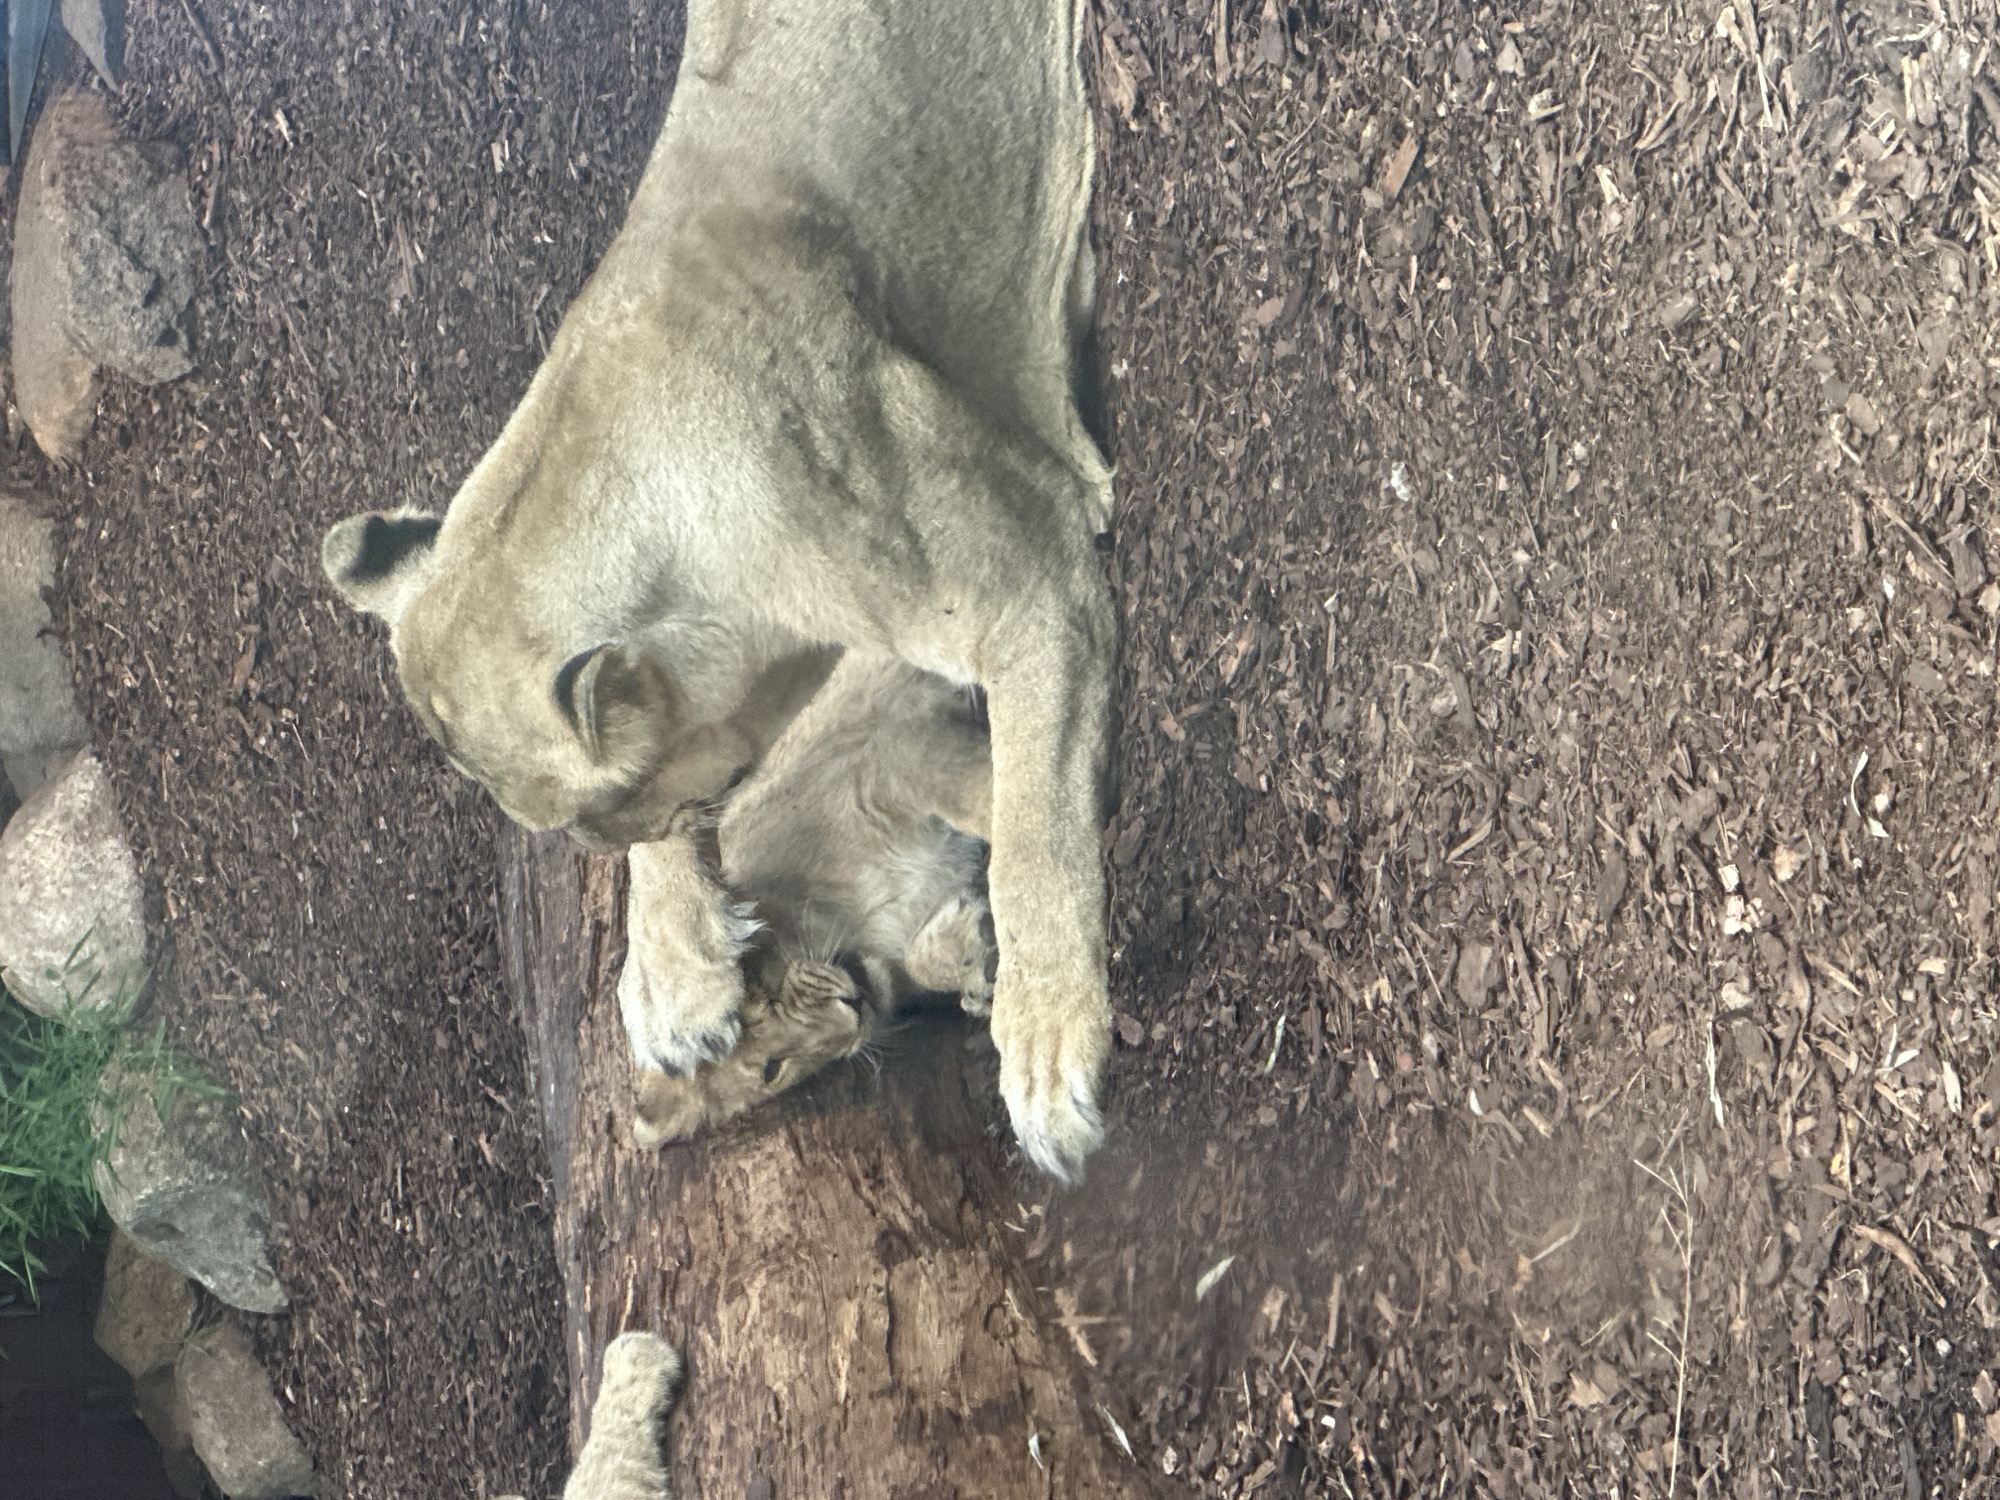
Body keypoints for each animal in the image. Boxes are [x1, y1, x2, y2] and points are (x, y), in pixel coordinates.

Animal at [321, 0, 1115, 1181]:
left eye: (596, 820)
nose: (610, 843)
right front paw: (677, 979)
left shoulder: (1028, 579)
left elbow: (1031, 835)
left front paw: (1048, 1050)